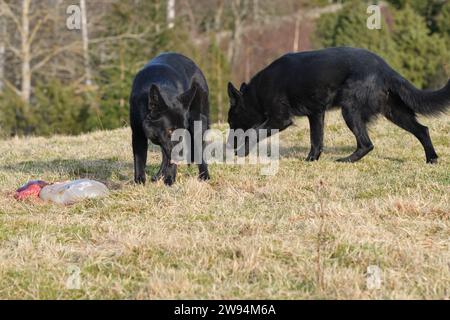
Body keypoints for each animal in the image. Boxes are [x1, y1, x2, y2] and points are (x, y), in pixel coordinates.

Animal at [229, 45, 450, 162]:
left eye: (231, 123)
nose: (229, 146)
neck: (257, 93)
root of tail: (385, 69)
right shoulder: (316, 114)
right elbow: (316, 140)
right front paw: (311, 160)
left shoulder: (280, 120)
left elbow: (254, 131)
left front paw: (242, 151)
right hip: (394, 112)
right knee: (422, 130)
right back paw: (431, 158)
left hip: (350, 110)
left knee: (367, 144)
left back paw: (347, 160)